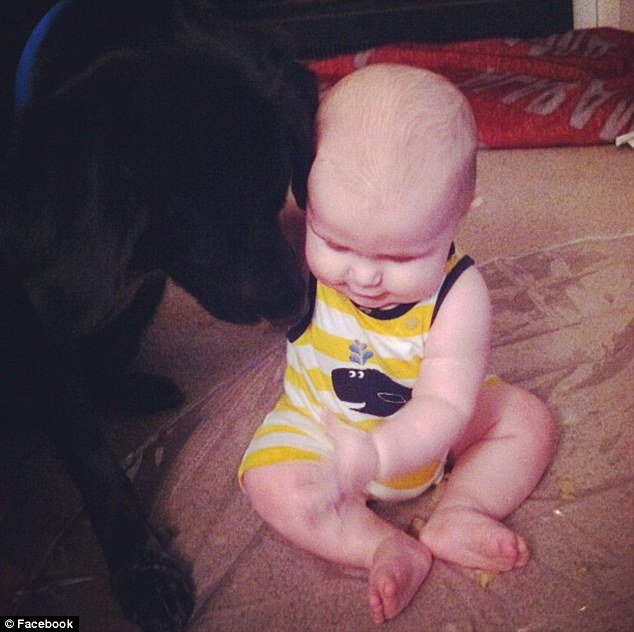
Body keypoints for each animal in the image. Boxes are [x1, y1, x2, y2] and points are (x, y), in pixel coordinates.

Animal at [0, 0, 317, 629]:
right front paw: (143, 570)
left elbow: (109, 348)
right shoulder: (37, 335)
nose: (295, 301)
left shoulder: (134, 289)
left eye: (277, 192)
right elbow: (94, 459)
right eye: (201, 230)